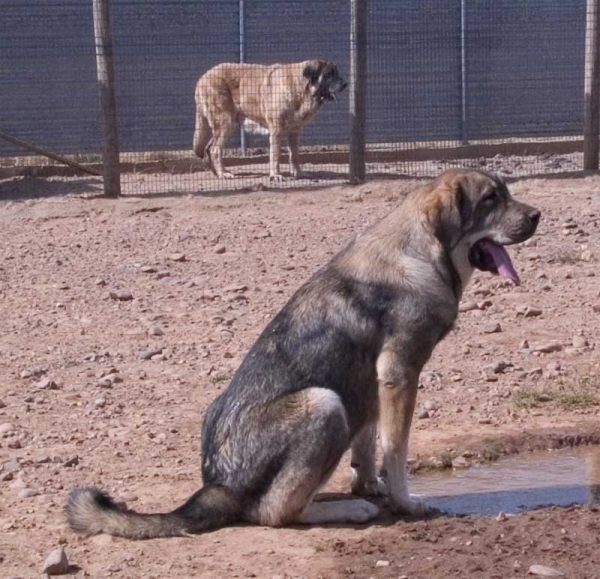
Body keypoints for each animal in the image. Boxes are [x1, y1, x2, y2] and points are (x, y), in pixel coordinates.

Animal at [65, 170, 540, 540]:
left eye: (506, 192)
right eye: (491, 199)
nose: (538, 216)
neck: (422, 252)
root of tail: (219, 484)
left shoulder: (369, 382)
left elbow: (369, 443)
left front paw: (368, 484)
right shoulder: (399, 373)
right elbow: (396, 449)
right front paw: (403, 501)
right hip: (323, 403)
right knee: (274, 513)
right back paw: (346, 511)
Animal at [190, 59, 344, 181]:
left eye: (336, 73)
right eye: (329, 74)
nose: (346, 84)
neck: (299, 88)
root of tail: (202, 78)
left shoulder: (294, 132)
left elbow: (294, 155)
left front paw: (298, 173)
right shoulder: (276, 130)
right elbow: (275, 155)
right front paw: (275, 175)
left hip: (226, 124)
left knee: (209, 148)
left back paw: (217, 173)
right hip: (225, 122)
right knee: (215, 149)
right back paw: (223, 174)